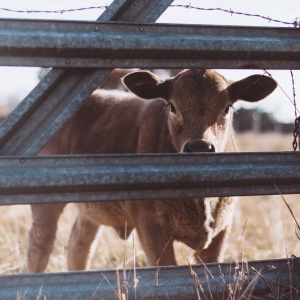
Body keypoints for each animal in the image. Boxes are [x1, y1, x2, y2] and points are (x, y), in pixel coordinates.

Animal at [27, 69, 276, 272]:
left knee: (78, 246)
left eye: (226, 108)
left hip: (91, 211)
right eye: (172, 106)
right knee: (40, 247)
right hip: (45, 207)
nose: (199, 148)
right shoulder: (150, 226)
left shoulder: (221, 228)